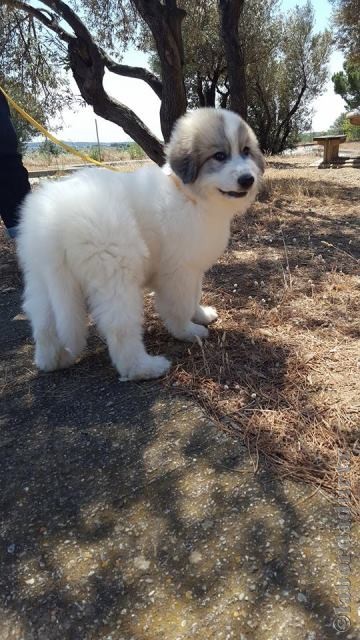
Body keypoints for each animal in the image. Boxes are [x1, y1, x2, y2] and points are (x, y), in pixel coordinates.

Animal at [16, 107, 264, 380]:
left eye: (246, 151)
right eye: (219, 156)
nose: (247, 179)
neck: (189, 196)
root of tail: (55, 222)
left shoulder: (193, 267)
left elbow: (195, 294)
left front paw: (200, 314)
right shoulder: (177, 272)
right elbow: (180, 304)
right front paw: (188, 331)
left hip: (41, 279)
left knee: (44, 322)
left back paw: (53, 360)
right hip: (115, 276)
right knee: (120, 329)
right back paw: (144, 367)